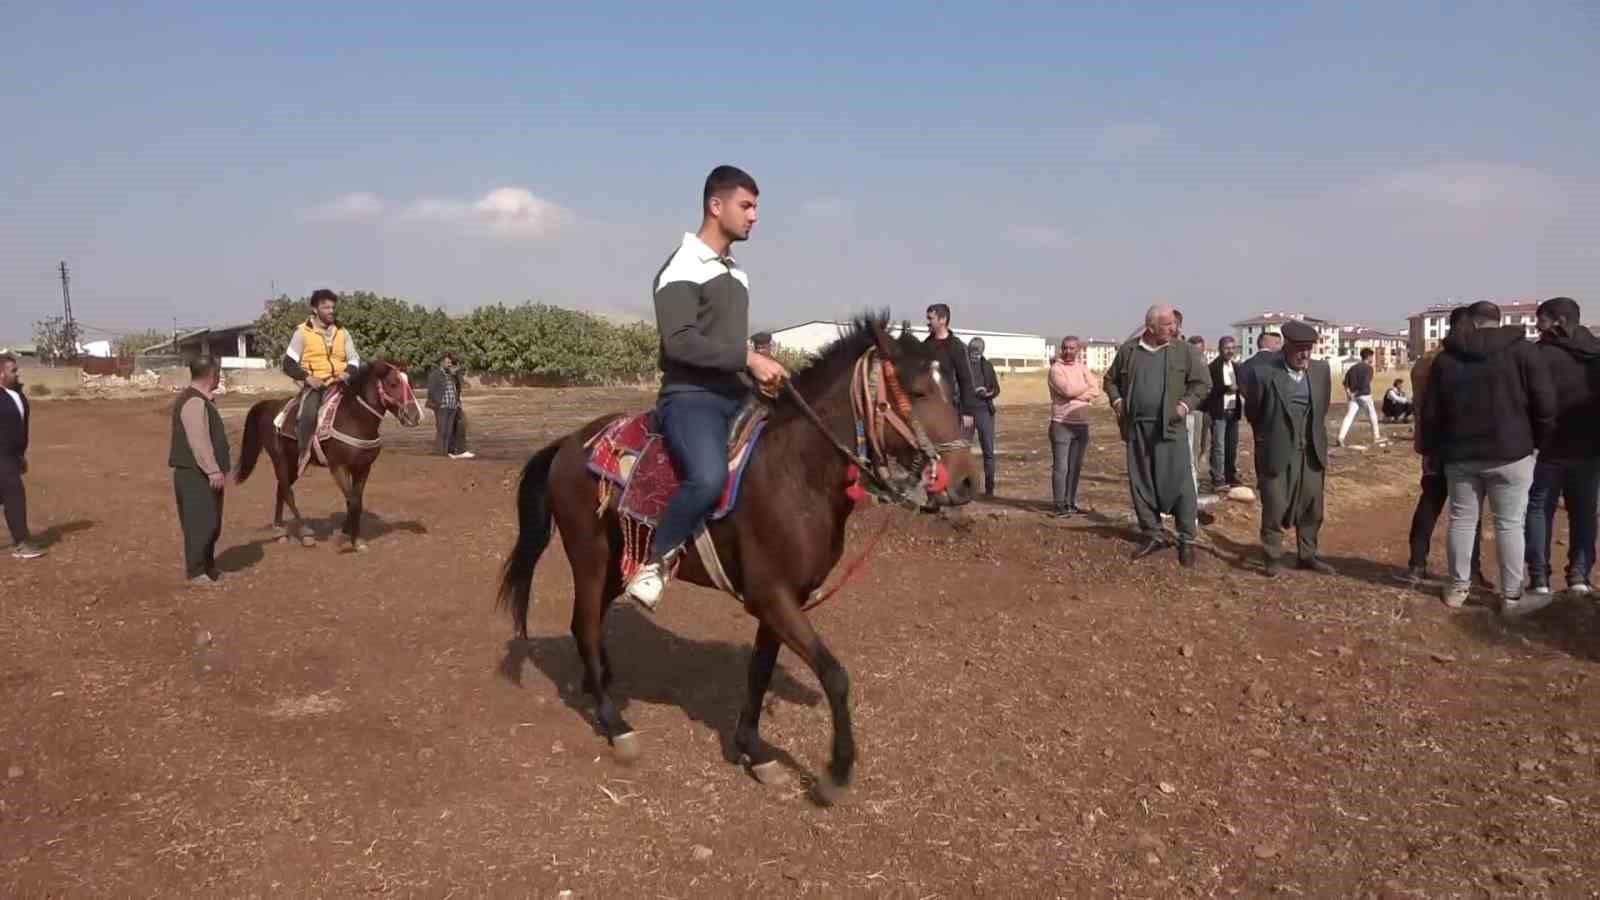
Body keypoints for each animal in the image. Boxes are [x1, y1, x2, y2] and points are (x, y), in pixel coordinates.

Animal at [236, 357, 422, 547]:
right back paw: (304, 532)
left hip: (294, 462)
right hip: (279, 459)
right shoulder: (338, 467)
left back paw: (280, 530)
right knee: (287, 492)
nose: (415, 416)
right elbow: (353, 501)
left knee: (281, 489)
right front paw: (346, 536)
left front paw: (354, 538)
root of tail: (269, 405)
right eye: (393, 384)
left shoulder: (362, 468)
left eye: (409, 382)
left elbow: (356, 500)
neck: (354, 419)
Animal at [499, 317, 972, 797]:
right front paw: (836, 771)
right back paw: (616, 725)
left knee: (590, 624)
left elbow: (759, 671)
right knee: (584, 623)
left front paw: (755, 751)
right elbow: (835, 675)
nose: (965, 483)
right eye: (917, 392)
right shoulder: (771, 596)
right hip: (589, 557)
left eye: (952, 389)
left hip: (617, 562)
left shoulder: (785, 600)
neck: (795, 472)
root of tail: (570, 443)